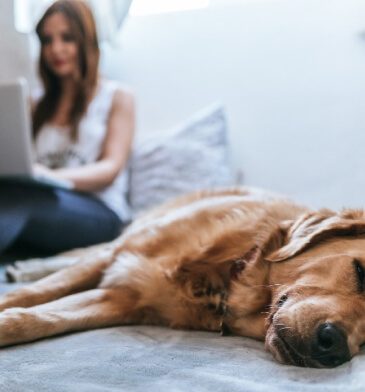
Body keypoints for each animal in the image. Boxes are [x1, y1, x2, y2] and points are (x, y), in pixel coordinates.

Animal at [0, 188, 364, 368]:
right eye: (361, 272)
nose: (334, 347)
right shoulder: (117, 256)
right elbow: (30, 295)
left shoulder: (123, 299)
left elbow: (42, 318)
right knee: (77, 253)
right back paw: (27, 266)